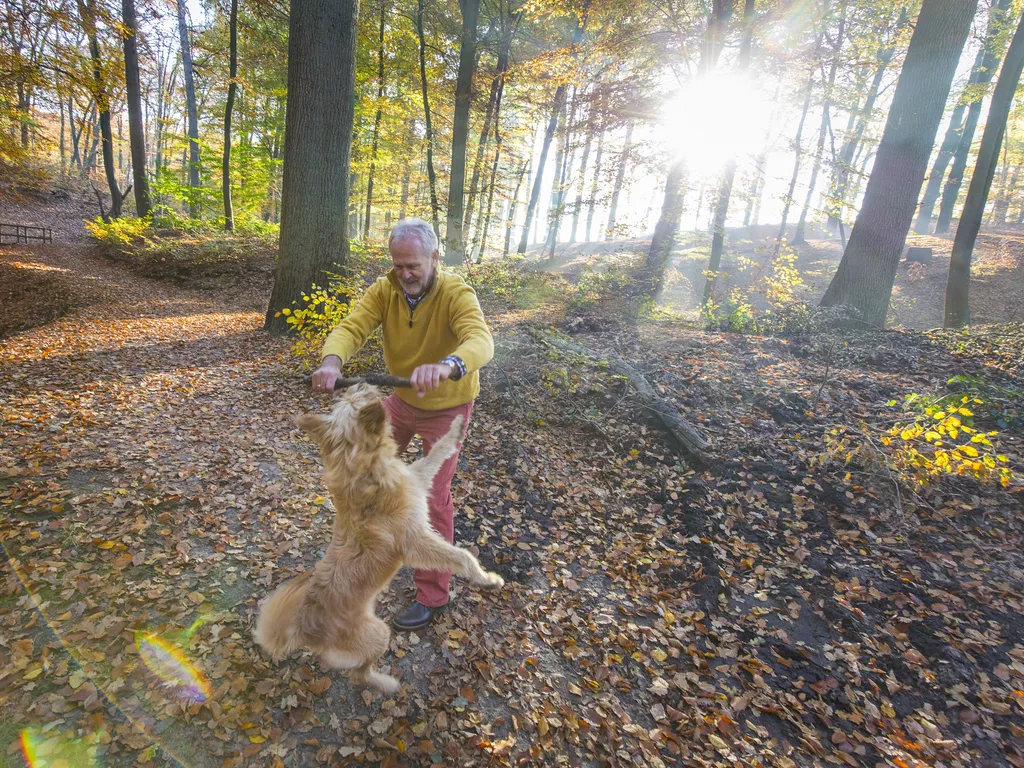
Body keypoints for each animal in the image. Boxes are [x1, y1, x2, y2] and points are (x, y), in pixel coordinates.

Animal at [256, 385, 503, 692]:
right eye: (356, 401)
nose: (359, 384)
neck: (363, 474)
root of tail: (305, 629)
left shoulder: (417, 477)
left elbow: (436, 452)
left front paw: (456, 428)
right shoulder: (415, 542)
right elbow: (462, 556)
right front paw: (486, 578)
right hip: (379, 633)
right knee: (358, 675)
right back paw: (387, 684)